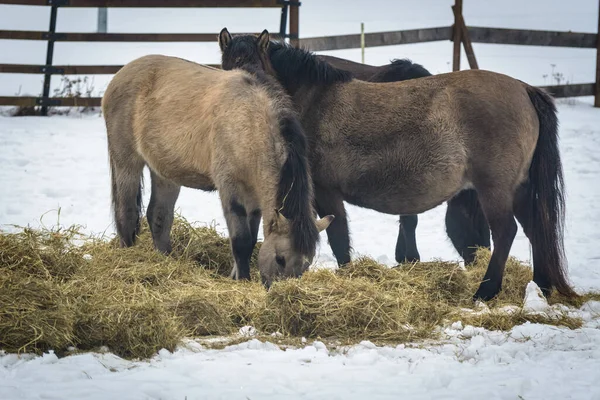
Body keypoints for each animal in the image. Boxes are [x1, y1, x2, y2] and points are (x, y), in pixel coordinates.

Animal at [100, 54, 330, 288]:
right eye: (280, 259)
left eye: (306, 265)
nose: (277, 291)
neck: (251, 123)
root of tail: (119, 76)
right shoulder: (230, 188)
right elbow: (241, 241)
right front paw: (242, 279)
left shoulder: (254, 196)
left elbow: (251, 237)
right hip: (126, 163)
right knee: (127, 213)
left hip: (164, 172)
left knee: (158, 216)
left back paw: (164, 258)